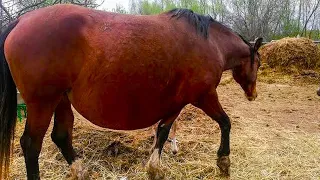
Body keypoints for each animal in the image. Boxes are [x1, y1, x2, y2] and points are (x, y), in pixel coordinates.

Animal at [0, 4, 262, 180]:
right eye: (258, 63)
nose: (253, 94)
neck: (211, 43)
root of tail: (21, 21)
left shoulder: (176, 103)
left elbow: (163, 132)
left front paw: (154, 168)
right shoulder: (204, 96)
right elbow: (225, 122)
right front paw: (224, 162)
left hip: (61, 100)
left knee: (61, 136)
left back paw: (79, 170)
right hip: (42, 103)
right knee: (31, 144)